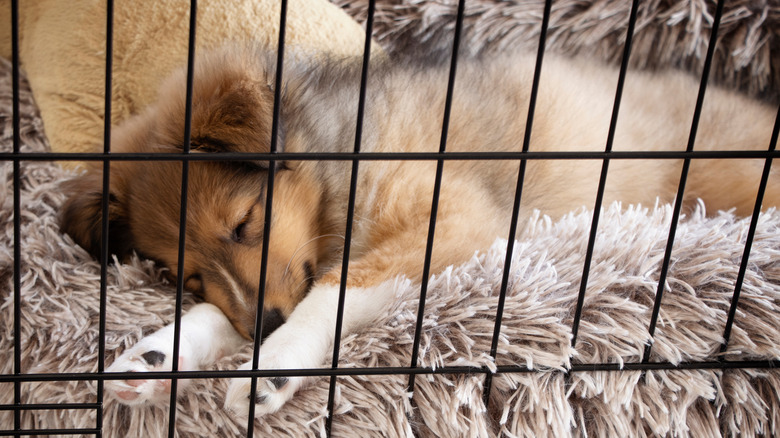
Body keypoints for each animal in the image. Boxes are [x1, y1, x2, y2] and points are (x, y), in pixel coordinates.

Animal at [59, 47, 780, 418]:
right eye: (185, 273)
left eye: (245, 223)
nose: (263, 328)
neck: (338, 161)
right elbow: (225, 311)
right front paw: (152, 358)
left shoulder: (452, 218)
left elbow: (333, 290)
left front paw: (273, 365)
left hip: (731, 174)